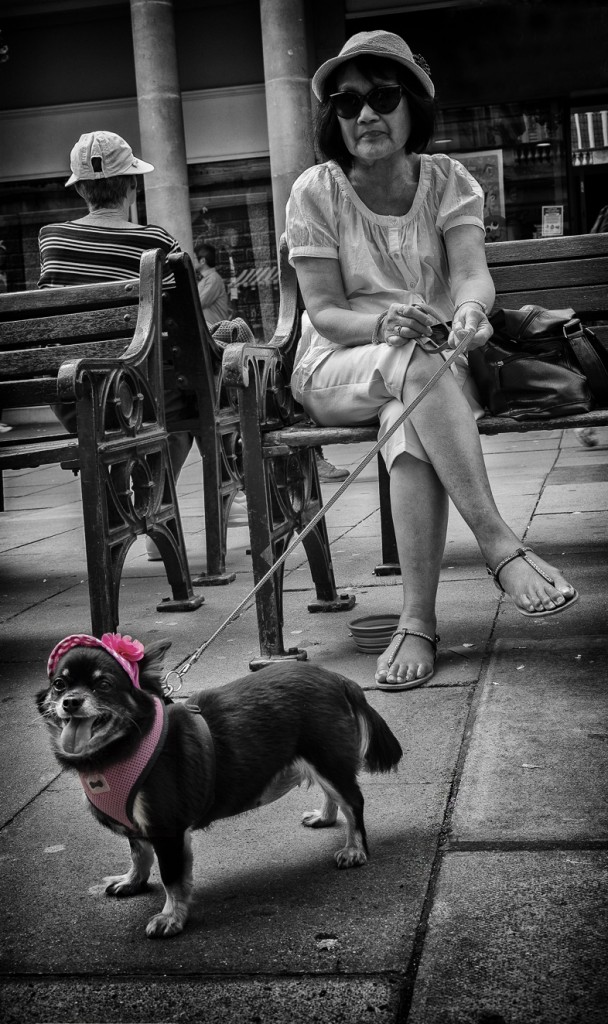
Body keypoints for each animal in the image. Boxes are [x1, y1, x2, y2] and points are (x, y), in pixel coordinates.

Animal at [35, 634, 399, 937]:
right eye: (59, 684)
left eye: (104, 685)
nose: (70, 701)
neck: (123, 748)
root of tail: (336, 679)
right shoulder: (139, 828)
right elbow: (139, 854)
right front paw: (132, 881)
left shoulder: (167, 830)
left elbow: (171, 878)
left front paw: (171, 917)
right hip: (321, 760)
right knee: (335, 796)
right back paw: (325, 817)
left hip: (326, 758)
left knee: (353, 803)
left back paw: (355, 848)